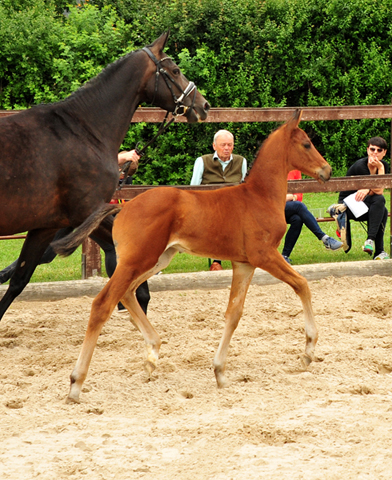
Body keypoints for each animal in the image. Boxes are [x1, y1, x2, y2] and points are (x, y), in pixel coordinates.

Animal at [0, 31, 210, 320]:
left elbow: (18, 281)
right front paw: (139, 300)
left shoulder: (47, 225)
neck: (85, 130)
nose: (203, 105)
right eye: (175, 70)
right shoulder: (86, 213)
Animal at [52, 110, 330, 404]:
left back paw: (152, 355)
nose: (327, 170)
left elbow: (234, 313)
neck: (258, 196)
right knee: (102, 304)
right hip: (137, 260)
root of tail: (122, 209)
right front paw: (308, 352)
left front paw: (220, 372)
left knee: (127, 293)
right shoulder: (265, 255)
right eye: (307, 144)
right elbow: (302, 284)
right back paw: (76, 383)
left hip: (157, 259)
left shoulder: (244, 263)